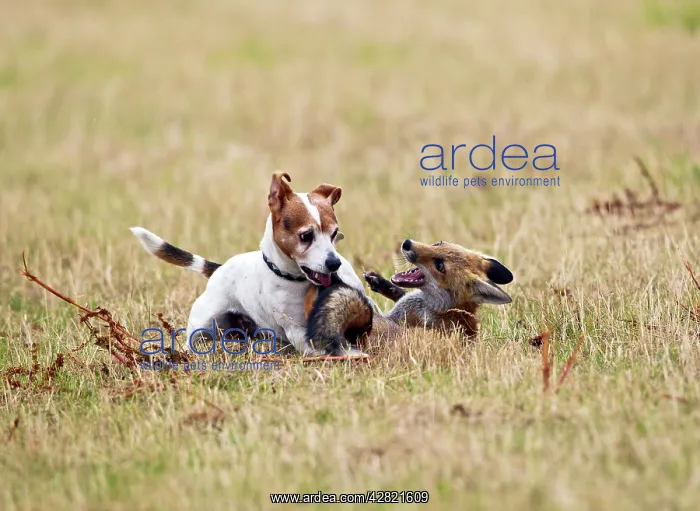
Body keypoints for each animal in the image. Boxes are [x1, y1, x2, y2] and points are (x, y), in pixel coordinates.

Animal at [304, 238, 514, 354]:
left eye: (440, 265)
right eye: (438, 243)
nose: (407, 243)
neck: (443, 308)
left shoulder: (401, 313)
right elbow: (400, 292)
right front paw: (382, 283)